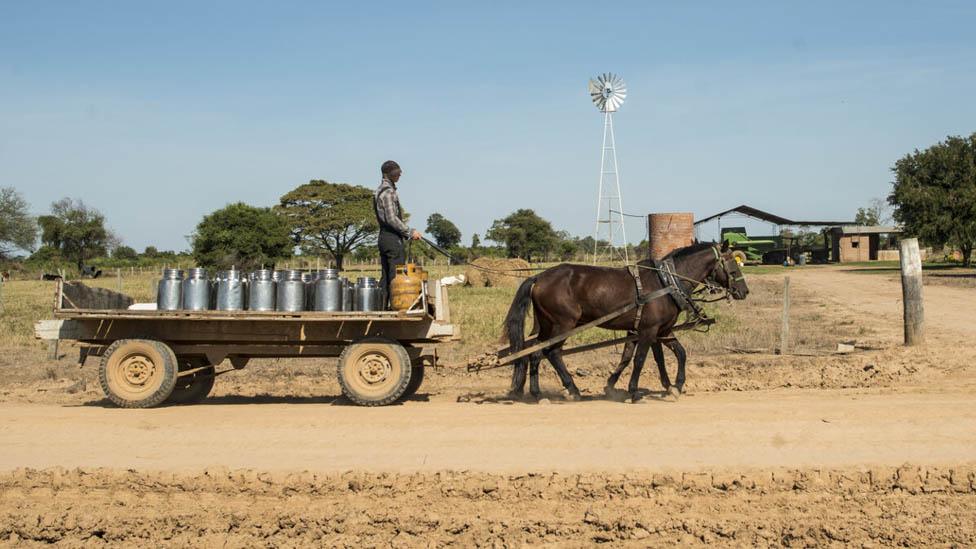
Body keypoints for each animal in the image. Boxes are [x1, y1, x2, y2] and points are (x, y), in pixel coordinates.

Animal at [504, 242, 748, 400]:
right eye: (732, 264)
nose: (744, 291)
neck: (666, 282)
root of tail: (538, 277)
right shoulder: (649, 331)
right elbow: (640, 359)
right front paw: (633, 391)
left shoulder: (660, 330)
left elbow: (673, 355)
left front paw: (674, 387)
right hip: (563, 324)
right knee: (552, 352)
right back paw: (572, 389)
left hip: (548, 325)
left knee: (534, 352)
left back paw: (537, 393)